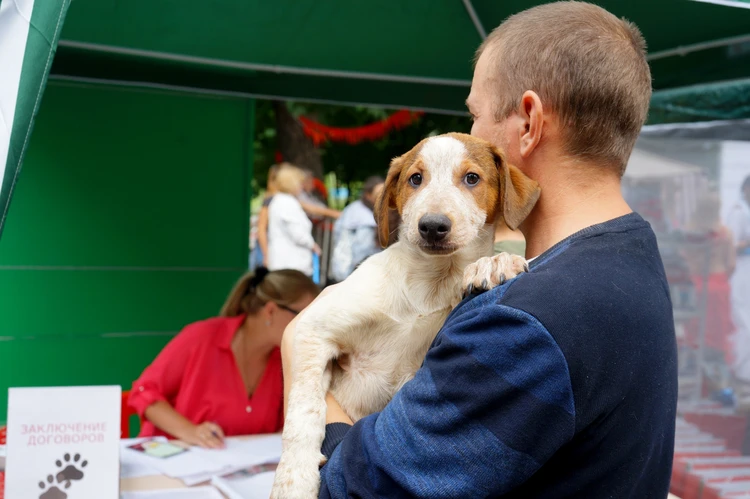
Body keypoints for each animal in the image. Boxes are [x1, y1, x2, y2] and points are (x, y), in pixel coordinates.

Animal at [274, 133, 544, 499]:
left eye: (472, 178)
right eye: (415, 179)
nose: (432, 226)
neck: (430, 284)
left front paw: (494, 262)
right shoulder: (312, 328)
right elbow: (304, 410)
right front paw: (294, 479)